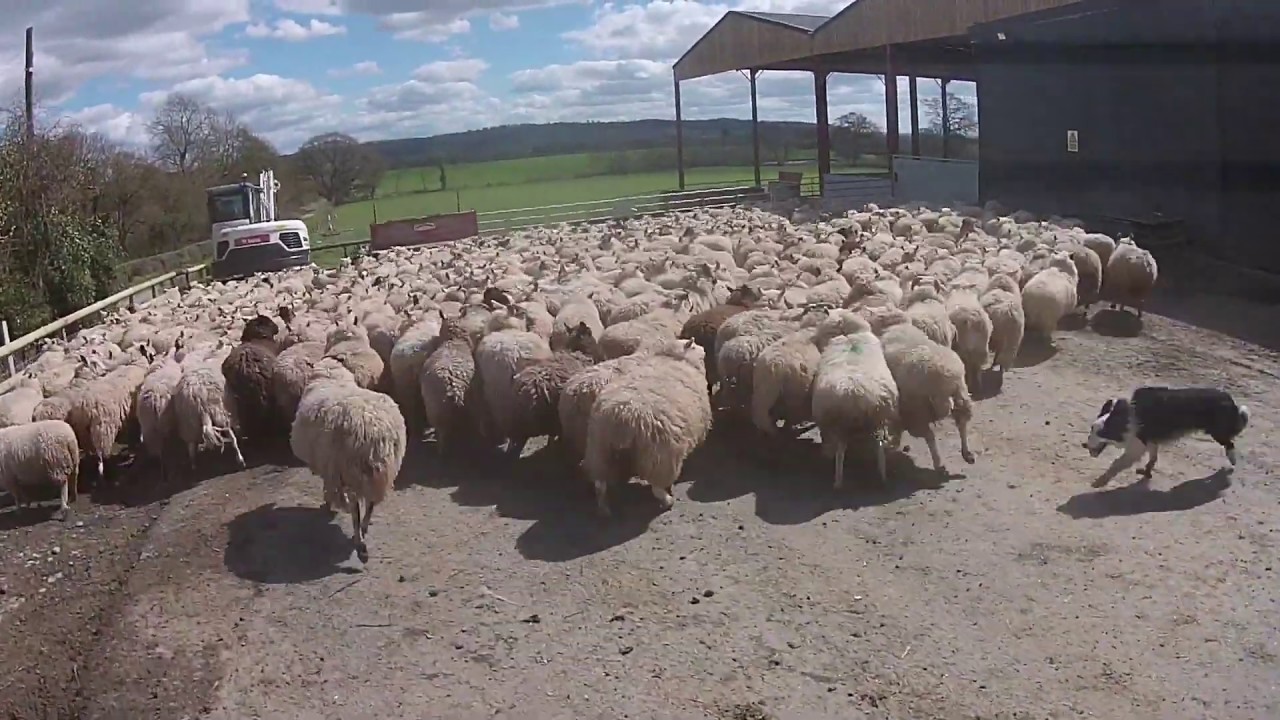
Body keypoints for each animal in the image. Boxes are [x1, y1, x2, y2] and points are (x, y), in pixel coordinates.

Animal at [290, 358, 407, 564]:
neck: (332, 376)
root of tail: (375, 431)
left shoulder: (330, 466)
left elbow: (329, 489)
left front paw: (328, 504)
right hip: (377, 471)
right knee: (370, 504)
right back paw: (363, 531)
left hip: (351, 469)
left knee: (355, 510)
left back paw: (360, 543)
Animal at [584, 338, 711, 517]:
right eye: (692, 346)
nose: (704, 349)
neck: (673, 359)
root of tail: (621, 418)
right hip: (659, 456)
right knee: (656, 488)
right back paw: (668, 501)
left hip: (599, 449)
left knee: (600, 483)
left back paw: (604, 509)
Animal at [810, 310, 899, 487]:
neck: (848, 335)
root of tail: (855, 394)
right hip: (876, 418)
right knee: (879, 447)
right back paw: (882, 476)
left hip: (838, 423)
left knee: (839, 452)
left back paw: (837, 481)